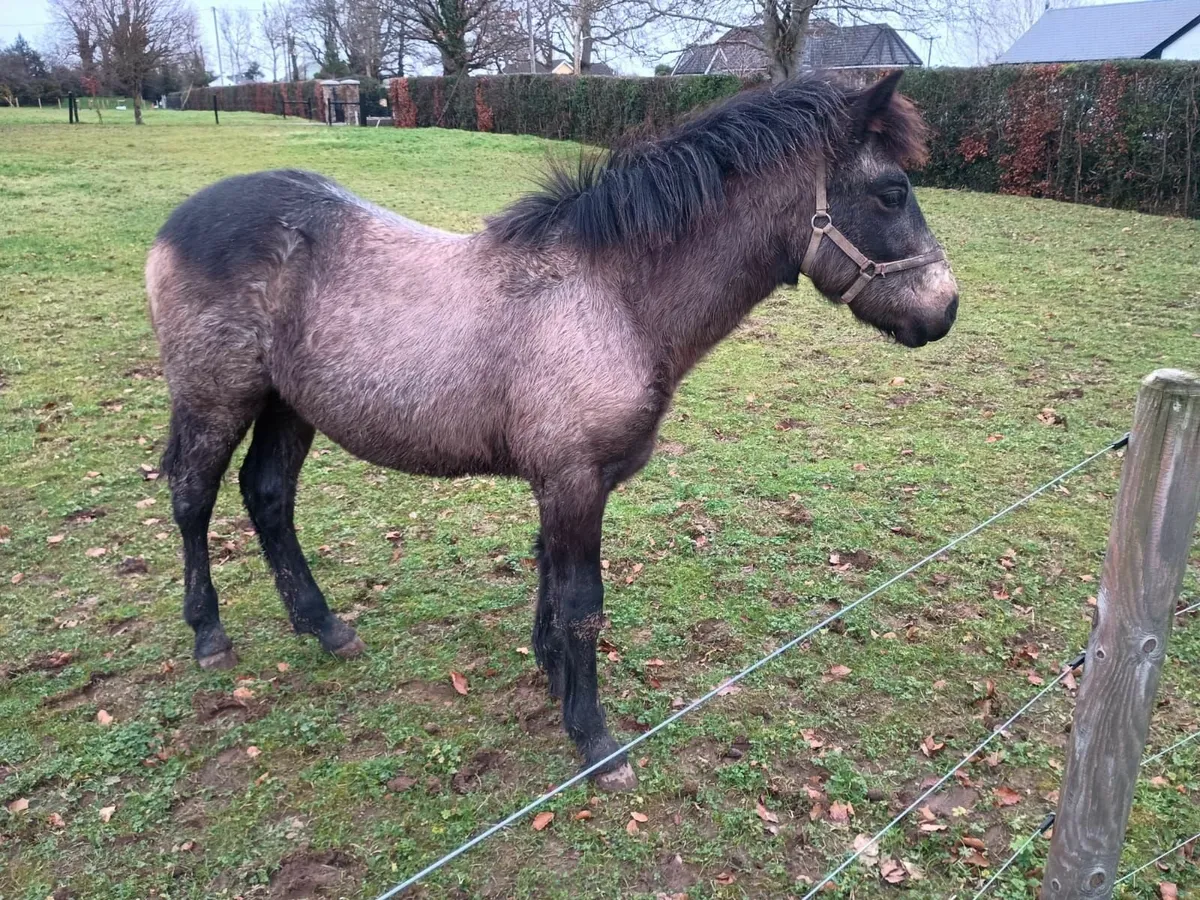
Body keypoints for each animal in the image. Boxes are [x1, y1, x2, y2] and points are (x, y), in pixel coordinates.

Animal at [146, 71, 957, 792]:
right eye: (891, 191)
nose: (945, 310)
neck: (611, 299)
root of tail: (178, 223)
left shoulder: (563, 485)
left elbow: (548, 583)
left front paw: (551, 678)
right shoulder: (574, 482)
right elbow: (582, 608)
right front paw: (595, 741)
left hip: (289, 405)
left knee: (268, 496)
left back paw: (322, 625)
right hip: (215, 399)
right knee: (193, 497)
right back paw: (209, 636)